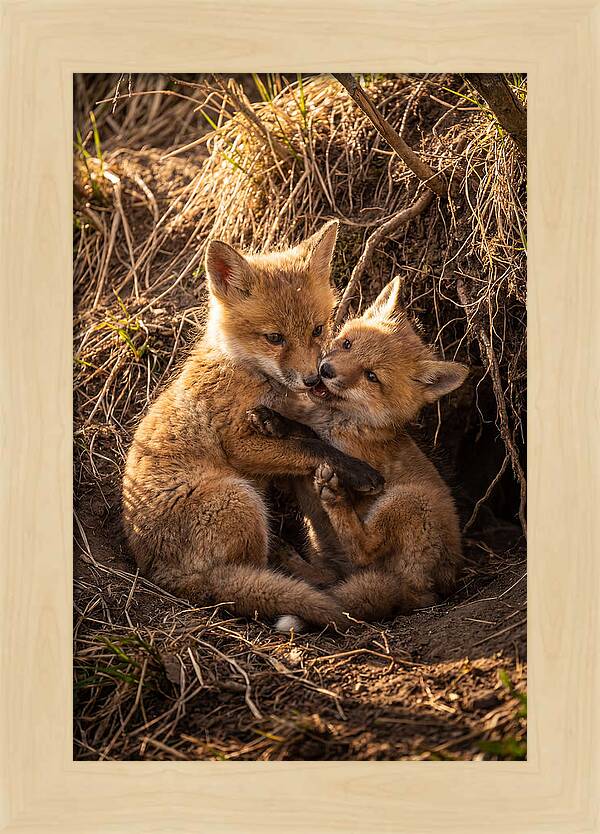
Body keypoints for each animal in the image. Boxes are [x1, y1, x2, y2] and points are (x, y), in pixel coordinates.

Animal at [122, 221, 384, 631]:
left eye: (317, 329)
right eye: (274, 338)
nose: (313, 379)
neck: (245, 370)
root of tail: (162, 575)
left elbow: (304, 433)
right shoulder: (239, 444)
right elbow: (311, 446)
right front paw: (358, 471)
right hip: (239, 497)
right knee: (252, 574)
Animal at [247, 276, 469, 632]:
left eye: (371, 376)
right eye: (348, 344)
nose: (325, 370)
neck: (338, 420)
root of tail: (429, 592)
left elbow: (313, 439)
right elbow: (302, 431)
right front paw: (273, 420)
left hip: (407, 501)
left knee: (364, 549)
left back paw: (334, 499)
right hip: (326, 548)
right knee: (329, 578)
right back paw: (290, 559)